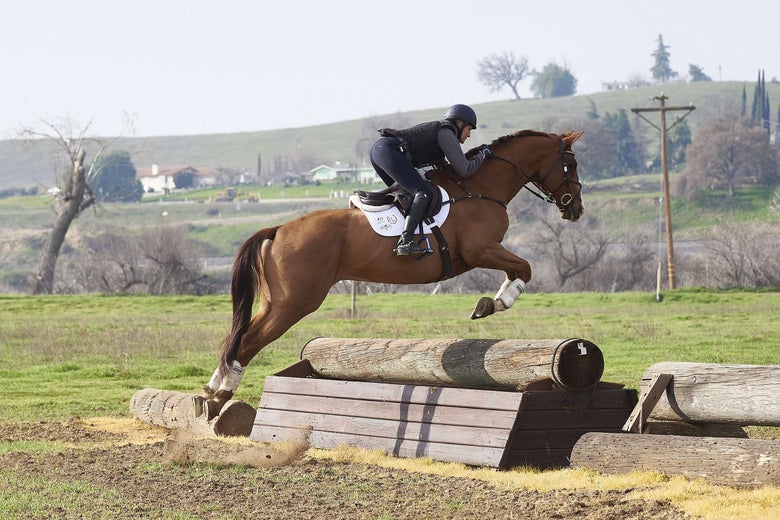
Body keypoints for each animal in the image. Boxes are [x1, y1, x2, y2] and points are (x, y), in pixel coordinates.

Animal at [198, 129, 584, 418]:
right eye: (571, 164)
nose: (575, 209)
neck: (480, 188)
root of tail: (277, 229)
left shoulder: (483, 253)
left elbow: (520, 269)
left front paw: (490, 303)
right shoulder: (480, 250)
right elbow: (524, 269)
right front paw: (493, 304)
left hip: (274, 302)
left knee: (239, 336)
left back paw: (212, 389)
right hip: (295, 303)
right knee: (248, 340)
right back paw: (221, 395)